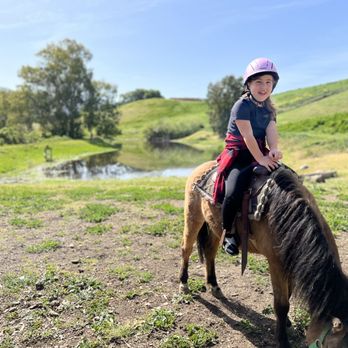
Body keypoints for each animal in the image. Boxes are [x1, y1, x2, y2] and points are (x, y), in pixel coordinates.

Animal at [181, 162, 348, 348]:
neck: (284, 213)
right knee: (186, 249)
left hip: (215, 228)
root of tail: (202, 167)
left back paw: (214, 286)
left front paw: (287, 323)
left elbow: (288, 294)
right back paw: (183, 284)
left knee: (210, 253)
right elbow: (282, 305)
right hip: (193, 218)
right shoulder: (275, 263)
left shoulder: (289, 260)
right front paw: (283, 340)